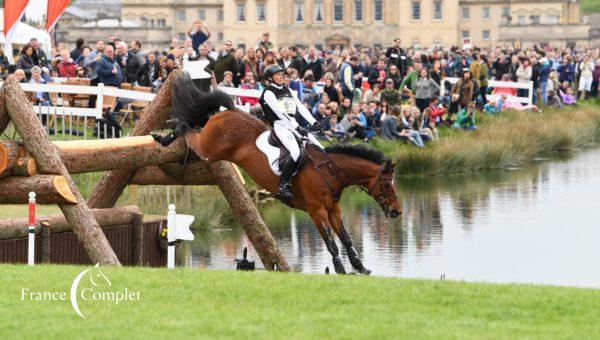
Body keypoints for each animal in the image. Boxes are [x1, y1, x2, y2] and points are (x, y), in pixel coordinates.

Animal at [157, 75, 400, 274]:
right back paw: (168, 133)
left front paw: (360, 267)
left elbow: (347, 238)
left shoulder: (334, 209)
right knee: (189, 132)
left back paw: (165, 136)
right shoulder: (317, 212)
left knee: (194, 126)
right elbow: (331, 242)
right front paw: (340, 270)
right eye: (387, 184)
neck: (330, 171)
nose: (396, 211)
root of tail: (231, 110)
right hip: (209, 148)